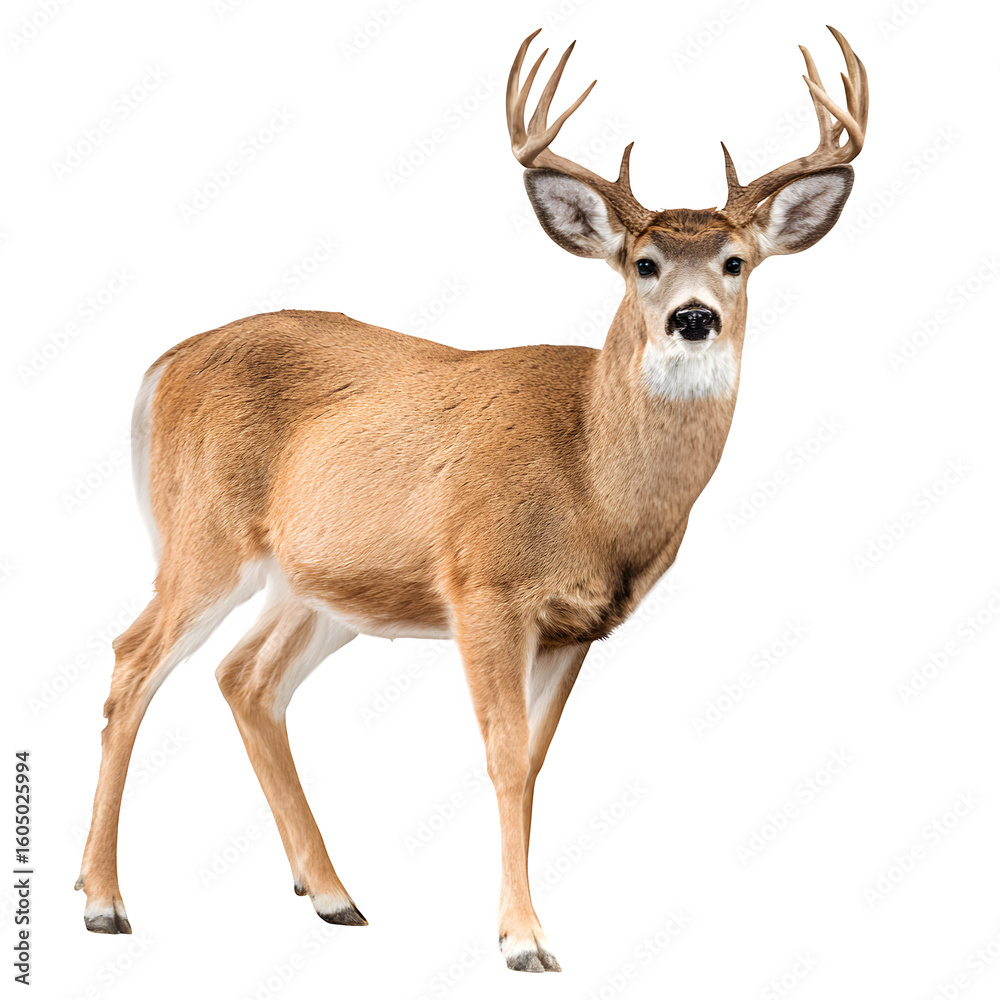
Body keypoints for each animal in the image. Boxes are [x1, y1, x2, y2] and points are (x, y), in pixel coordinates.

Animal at [77, 26, 868, 972]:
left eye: (735, 263)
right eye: (641, 264)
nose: (693, 318)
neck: (593, 482)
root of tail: (162, 364)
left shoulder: (576, 626)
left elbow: (535, 762)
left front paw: (520, 927)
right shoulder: (486, 587)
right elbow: (502, 755)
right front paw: (524, 940)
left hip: (324, 582)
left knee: (246, 677)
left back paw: (332, 894)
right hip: (204, 535)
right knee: (133, 659)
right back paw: (103, 902)